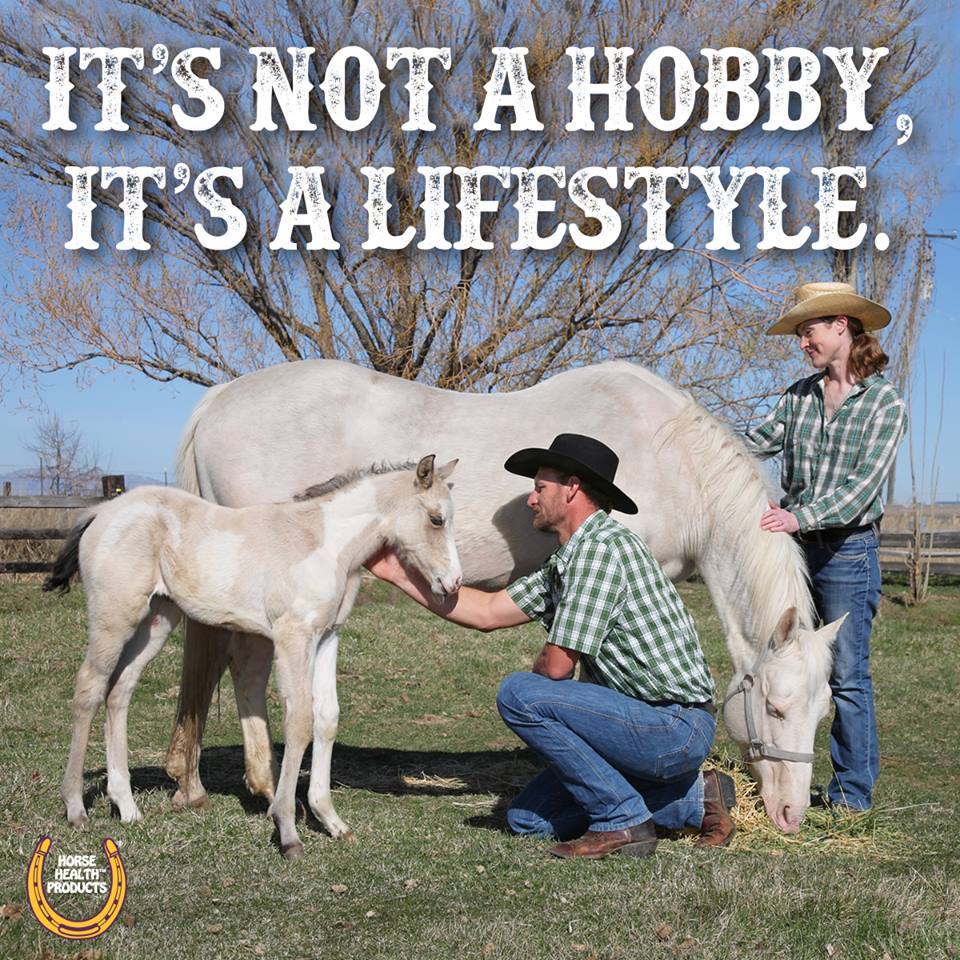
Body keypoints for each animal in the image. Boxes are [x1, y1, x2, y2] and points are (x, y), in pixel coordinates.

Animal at [44, 455, 461, 860]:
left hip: (157, 620)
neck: (323, 542)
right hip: (114, 617)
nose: (453, 584)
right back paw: (76, 807)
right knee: (90, 688)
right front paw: (288, 831)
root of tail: (102, 511)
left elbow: (327, 717)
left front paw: (332, 821)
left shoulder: (327, 636)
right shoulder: (293, 636)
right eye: (436, 518)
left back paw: (127, 807)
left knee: (120, 690)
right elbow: (299, 721)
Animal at [165, 358, 840, 833]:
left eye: (822, 711)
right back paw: (256, 784)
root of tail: (221, 397)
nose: (791, 815)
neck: (669, 456)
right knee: (246, 663)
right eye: (775, 706)